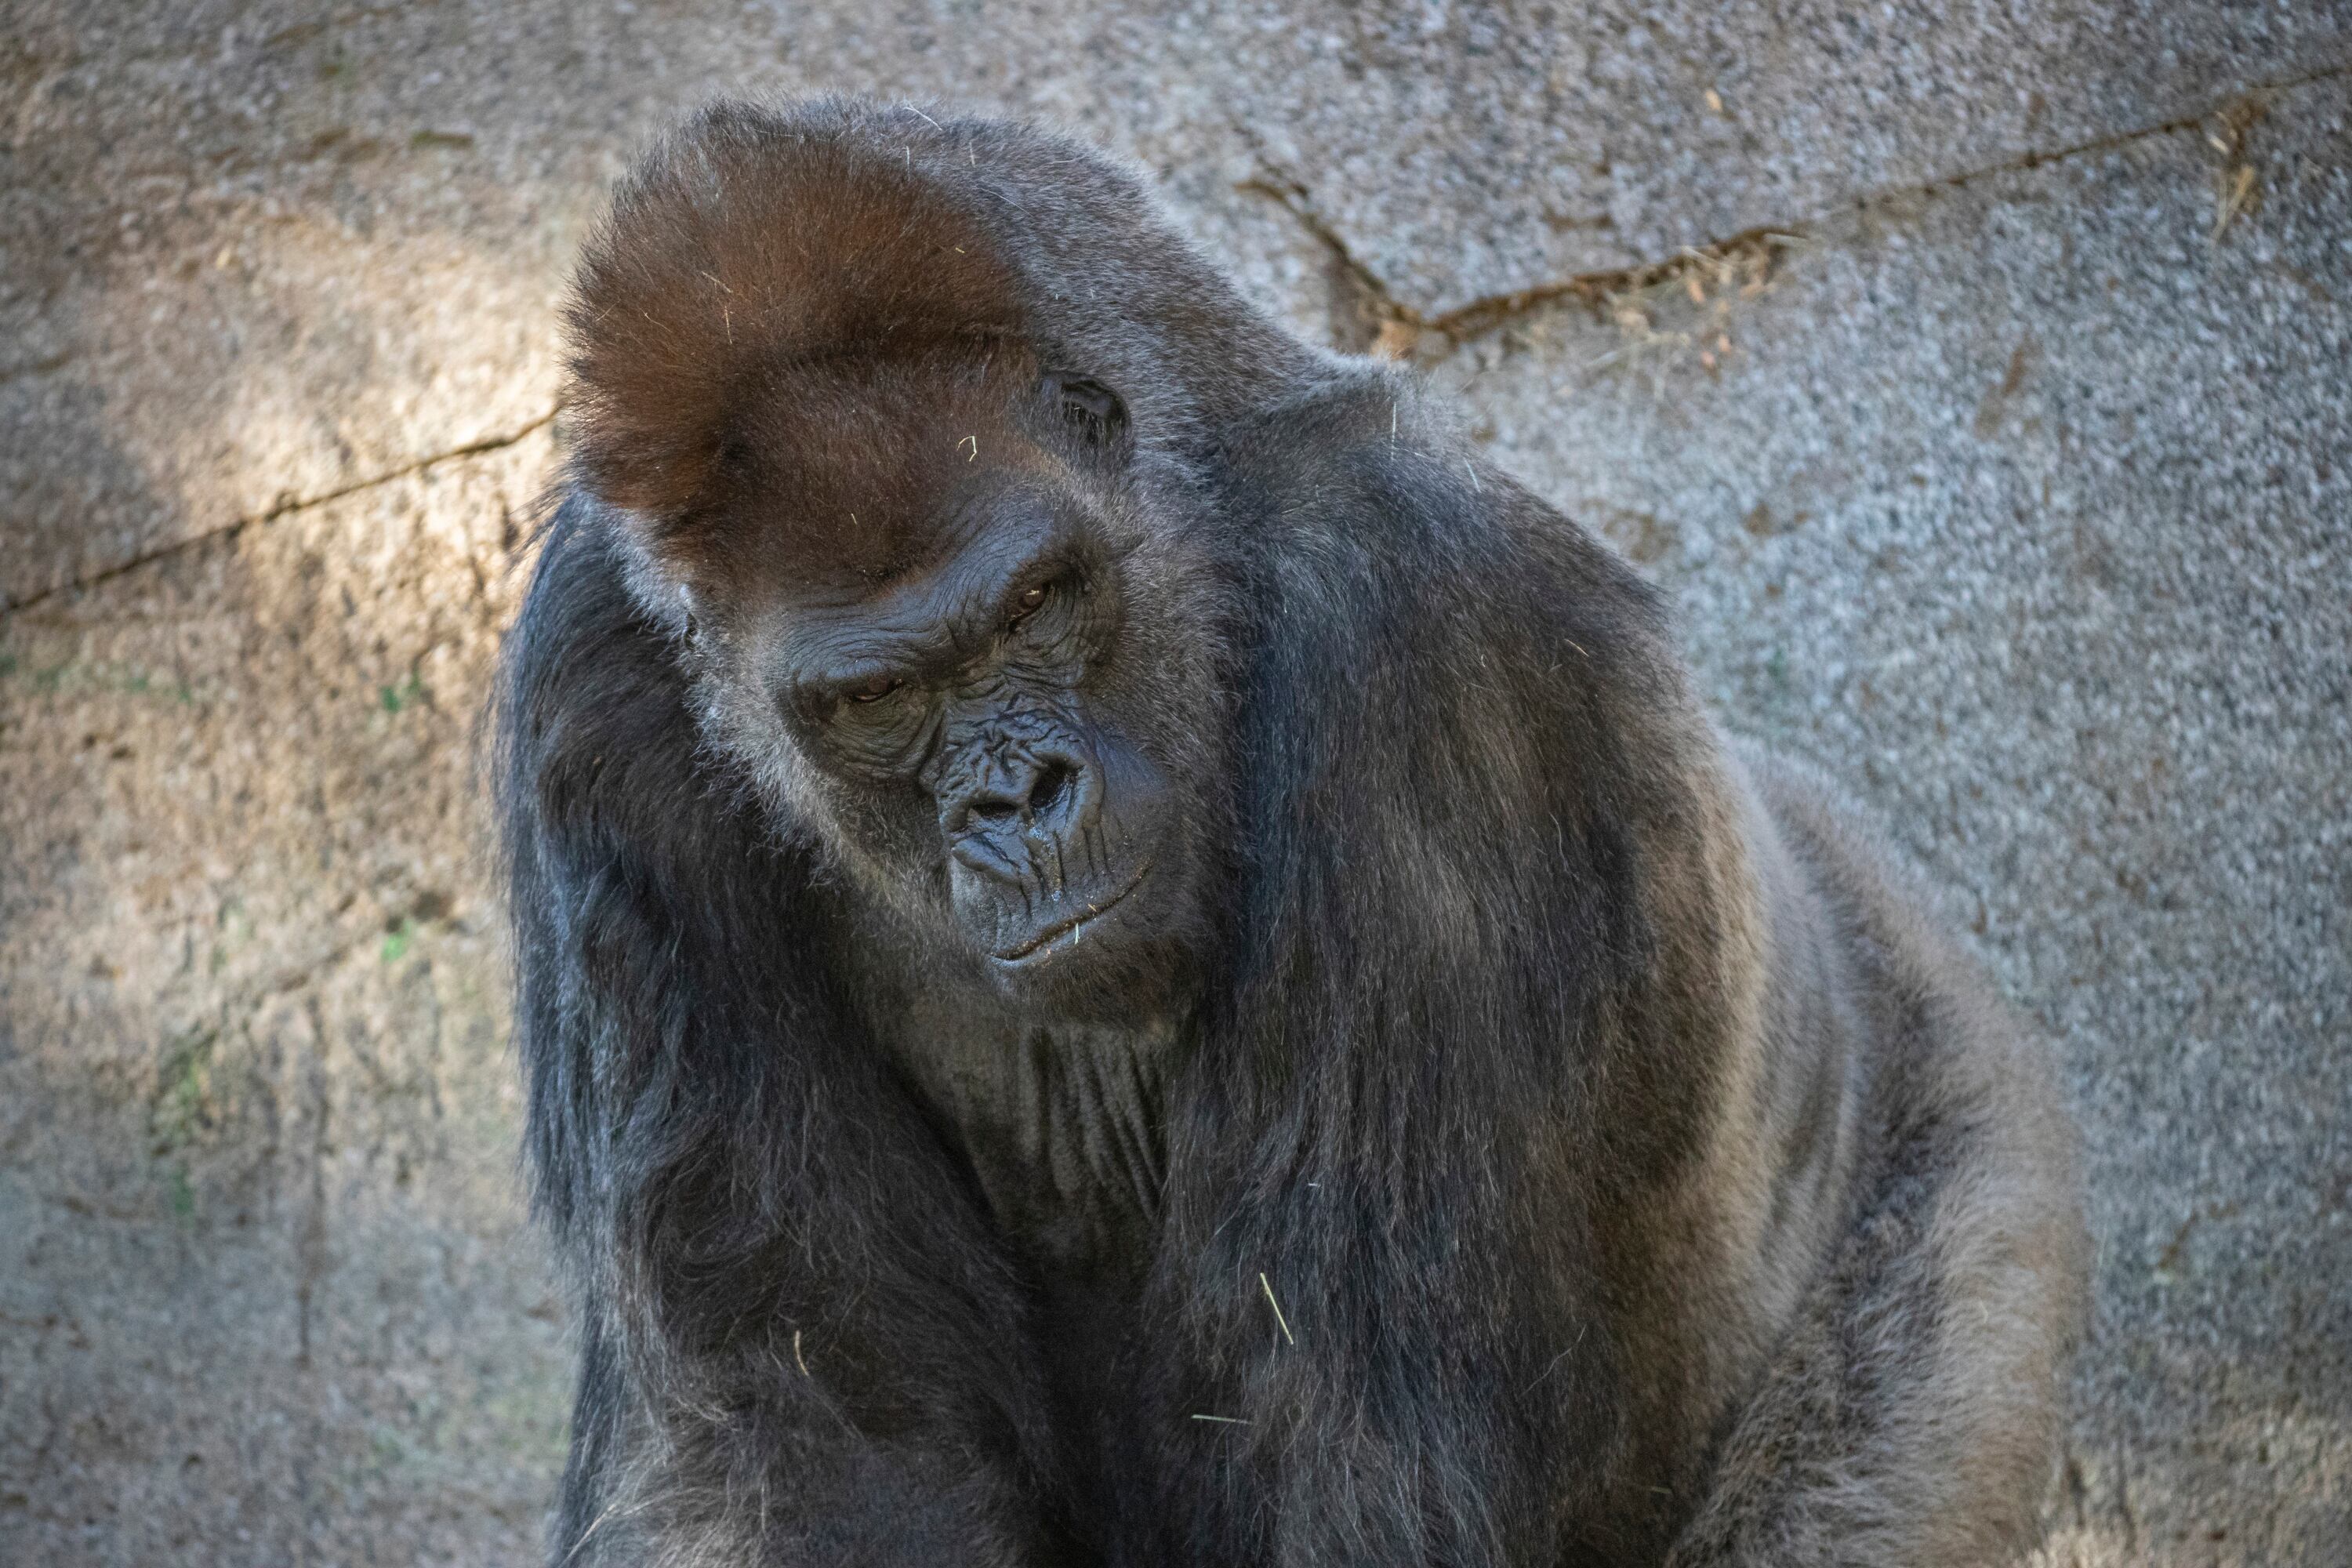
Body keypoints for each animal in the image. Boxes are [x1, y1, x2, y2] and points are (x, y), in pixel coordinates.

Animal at [501, 100, 2098, 1568]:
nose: (1019, 801)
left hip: (1958, 1184)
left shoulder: (1420, 619)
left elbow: (1353, 1447)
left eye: (1036, 606)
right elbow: (803, 1424)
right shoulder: (595, 688)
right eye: (879, 697)